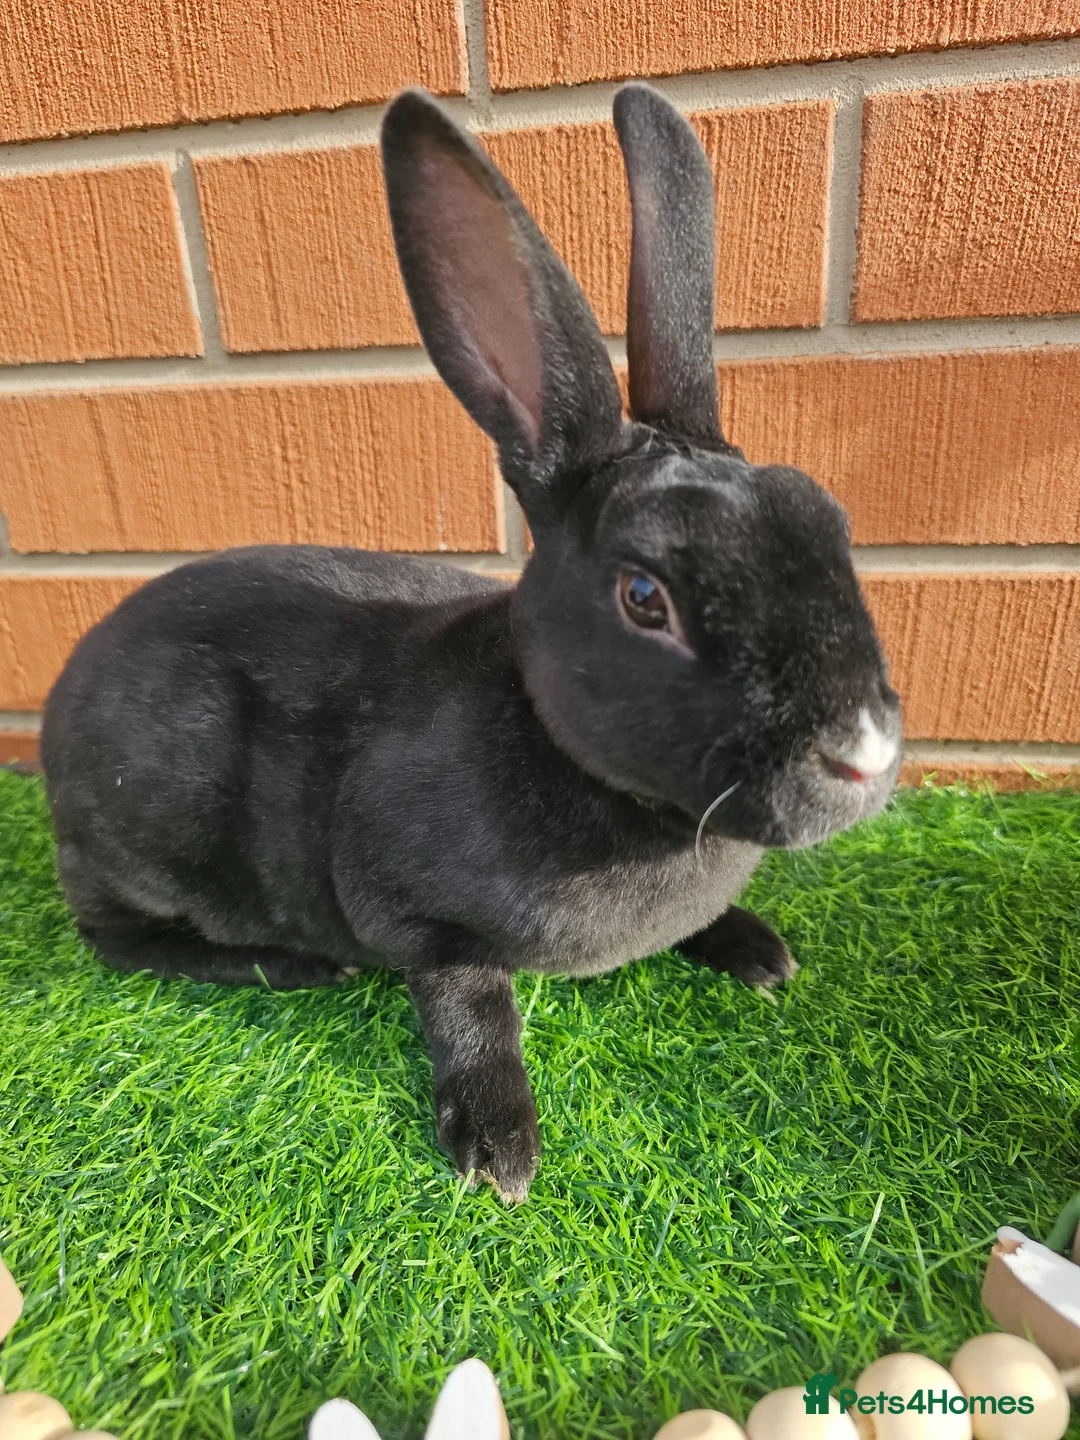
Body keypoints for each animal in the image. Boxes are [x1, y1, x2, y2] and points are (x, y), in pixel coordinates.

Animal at [41, 83, 902, 1203]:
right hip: (148, 837)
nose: (864, 757)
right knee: (112, 940)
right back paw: (288, 966)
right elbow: (469, 1005)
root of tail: (56, 707)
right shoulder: (411, 914)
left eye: (829, 522)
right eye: (644, 597)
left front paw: (758, 954)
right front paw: (497, 1150)